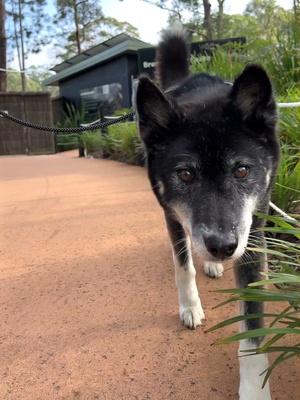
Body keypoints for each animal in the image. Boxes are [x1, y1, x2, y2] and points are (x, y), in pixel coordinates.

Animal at [135, 29, 280, 398]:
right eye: (186, 174)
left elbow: (252, 327)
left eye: (242, 170)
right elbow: (183, 267)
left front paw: (254, 389)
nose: (223, 246)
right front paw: (190, 307)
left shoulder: (253, 231)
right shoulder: (171, 216)